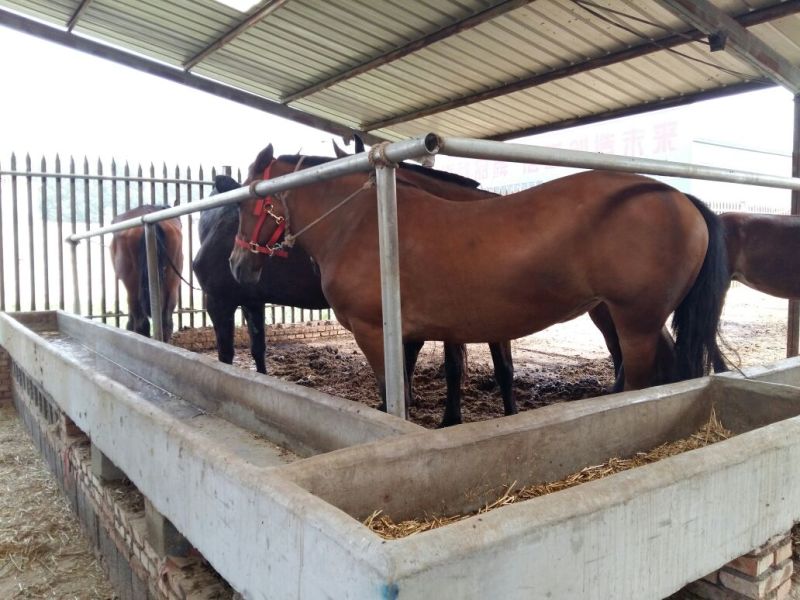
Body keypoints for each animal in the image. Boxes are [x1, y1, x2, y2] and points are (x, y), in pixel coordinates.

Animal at [230, 145, 729, 411]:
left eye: (245, 203)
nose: (237, 265)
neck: (361, 222)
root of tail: (677, 194)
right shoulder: (414, 335)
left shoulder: (375, 333)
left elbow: (393, 394)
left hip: (634, 322)